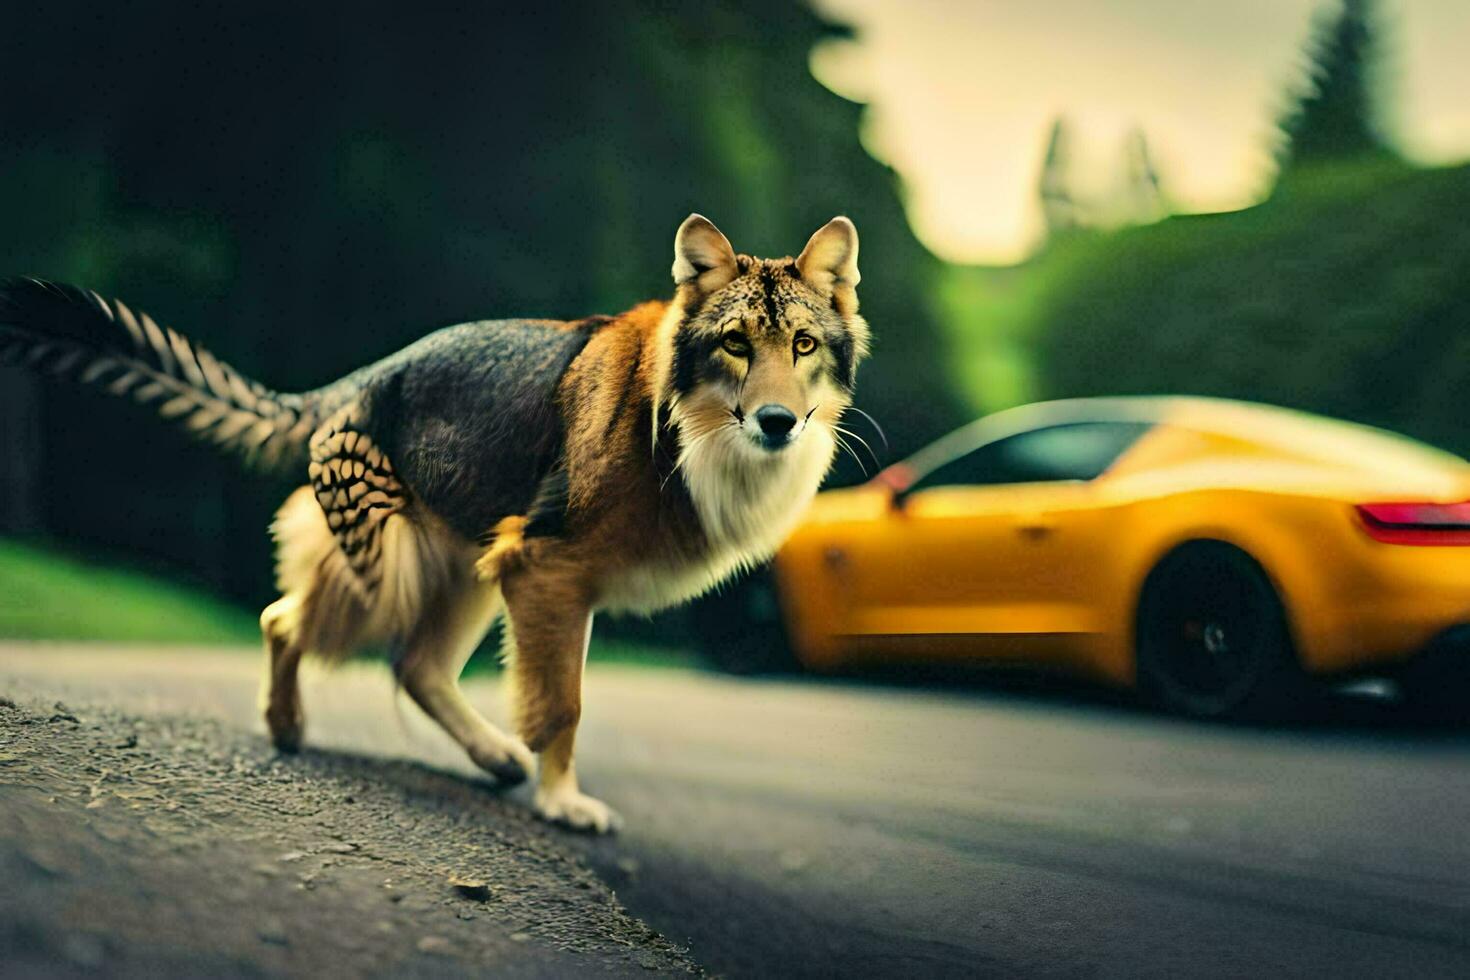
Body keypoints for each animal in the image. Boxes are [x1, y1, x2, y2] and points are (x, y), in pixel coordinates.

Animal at [0, 213, 864, 828]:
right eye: (734, 344)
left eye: (803, 344)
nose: (779, 423)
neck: (686, 428)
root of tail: (359, 378)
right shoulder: (548, 568)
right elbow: (563, 705)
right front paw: (562, 804)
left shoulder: (545, 576)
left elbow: (552, 697)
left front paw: (541, 784)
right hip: (394, 569)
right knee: (287, 621)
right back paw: (287, 724)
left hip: (470, 557)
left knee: (414, 665)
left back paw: (488, 758)